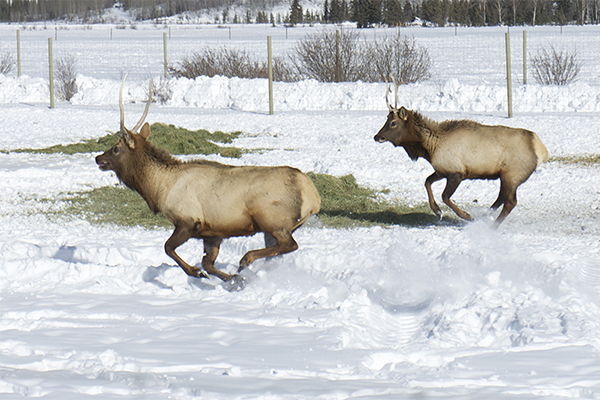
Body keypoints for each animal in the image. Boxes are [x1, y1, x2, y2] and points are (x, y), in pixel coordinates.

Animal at [96, 76, 322, 288]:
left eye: (116, 148)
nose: (98, 158)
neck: (159, 188)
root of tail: (313, 198)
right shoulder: (213, 232)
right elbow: (208, 263)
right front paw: (233, 280)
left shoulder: (188, 221)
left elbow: (169, 248)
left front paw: (198, 273)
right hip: (275, 227)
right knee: (278, 253)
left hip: (272, 219)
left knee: (289, 245)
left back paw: (245, 260)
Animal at [376, 78, 548, 225]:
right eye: (386, 118)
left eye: (393, 123)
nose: (377, 136)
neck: (429, 149)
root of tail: (541, 150)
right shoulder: (441, 170)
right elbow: (427, 181)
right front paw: (437, 211)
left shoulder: (457, 173)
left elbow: (445, 196)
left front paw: (466, 216)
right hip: (504, 176)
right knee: (501, 198)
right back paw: (486, 215)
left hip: (512, 175)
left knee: (510, 202)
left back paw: (491, 226)